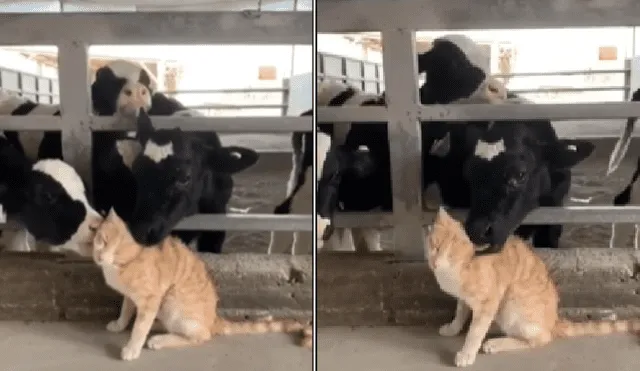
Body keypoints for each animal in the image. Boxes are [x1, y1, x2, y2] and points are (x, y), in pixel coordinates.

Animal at [94, 209, 312, 360]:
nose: (101, 256)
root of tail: (214, 319)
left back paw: (160, 339)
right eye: (101, 241)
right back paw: (157, 325)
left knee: (202, 336)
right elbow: (126, 310)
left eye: (118, 251)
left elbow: (140, 328)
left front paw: (132, 348)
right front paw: (120, 324)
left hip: (171, 302)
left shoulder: (151, 299)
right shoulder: (131, 296)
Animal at [428, 208, 640, 368]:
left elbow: (475, 332)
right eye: (435, 247)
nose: (435, 262)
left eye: (451, 256)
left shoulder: (489, 304)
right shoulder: (463, 298)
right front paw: (453, 328)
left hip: (510, 305)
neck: (458, 272)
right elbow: (460, 313)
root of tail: (554, 321)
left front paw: (466, 354)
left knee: (541, 339)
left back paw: (496, 343)